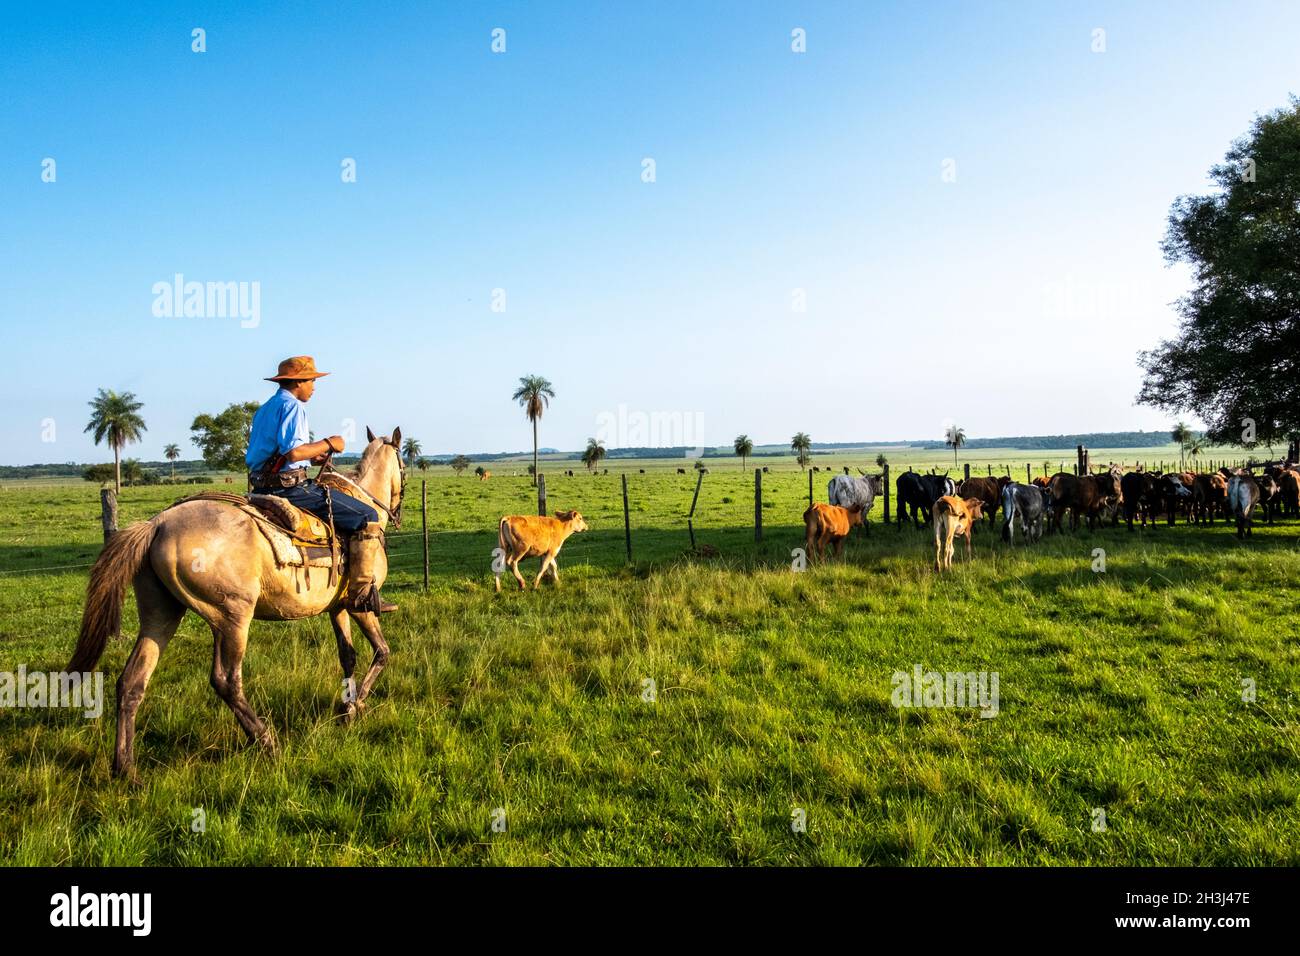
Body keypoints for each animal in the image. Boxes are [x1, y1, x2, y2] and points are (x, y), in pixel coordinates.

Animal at [68, 429, 403, 780]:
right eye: (403, 464)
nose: (397, 511)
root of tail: (157, 525)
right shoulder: (360, 605)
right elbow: (382, 651)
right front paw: (358, 704)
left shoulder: (338, 608)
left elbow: (348, 656)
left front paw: (347, 705)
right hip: (232, 618)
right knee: (226, 681)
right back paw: (267, 742)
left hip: (161, 614)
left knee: (132, 680)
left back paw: (126, 768)